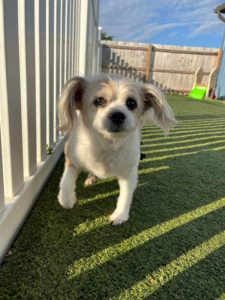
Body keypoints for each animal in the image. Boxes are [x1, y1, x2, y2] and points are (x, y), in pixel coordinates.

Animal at [57, 75, 177, 225]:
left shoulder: (129, 173)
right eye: (99, 101)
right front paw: (67, 200)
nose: (118, 115)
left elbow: (125, 196)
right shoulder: (72, 158)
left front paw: (120, 215)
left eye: (131, 103)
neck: (109, 144)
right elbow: (66, 181)